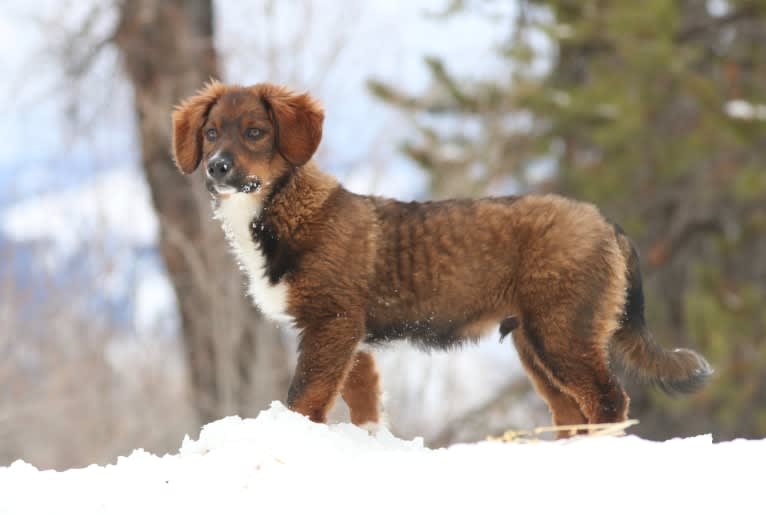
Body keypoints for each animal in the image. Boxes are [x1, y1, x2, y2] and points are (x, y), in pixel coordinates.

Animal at [172, 81, 712, 440]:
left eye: (256, 132)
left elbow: (303, 397)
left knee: (607, 400)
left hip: (564, 331)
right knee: (570, 411)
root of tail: (605, 223)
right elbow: (362, 401)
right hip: (535, 343)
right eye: (212, 133)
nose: (218, 167)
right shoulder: (349, 336)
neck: (280, 209)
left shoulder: (332, 323)